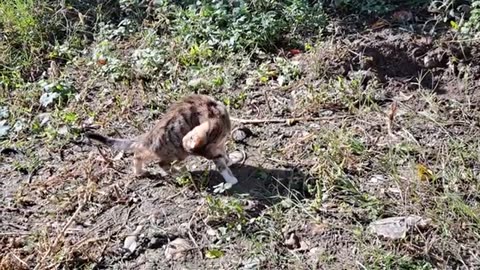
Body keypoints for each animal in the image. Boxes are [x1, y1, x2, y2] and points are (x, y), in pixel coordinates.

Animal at [86, 94, 238, 186]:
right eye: (203, 155)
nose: (214, 156)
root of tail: (149, 135)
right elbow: (221, 165)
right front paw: (230, 178)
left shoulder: (219, 144)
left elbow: (224, 153)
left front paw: (228, 160)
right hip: (177, 153)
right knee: (156, 161)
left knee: (144, 155)